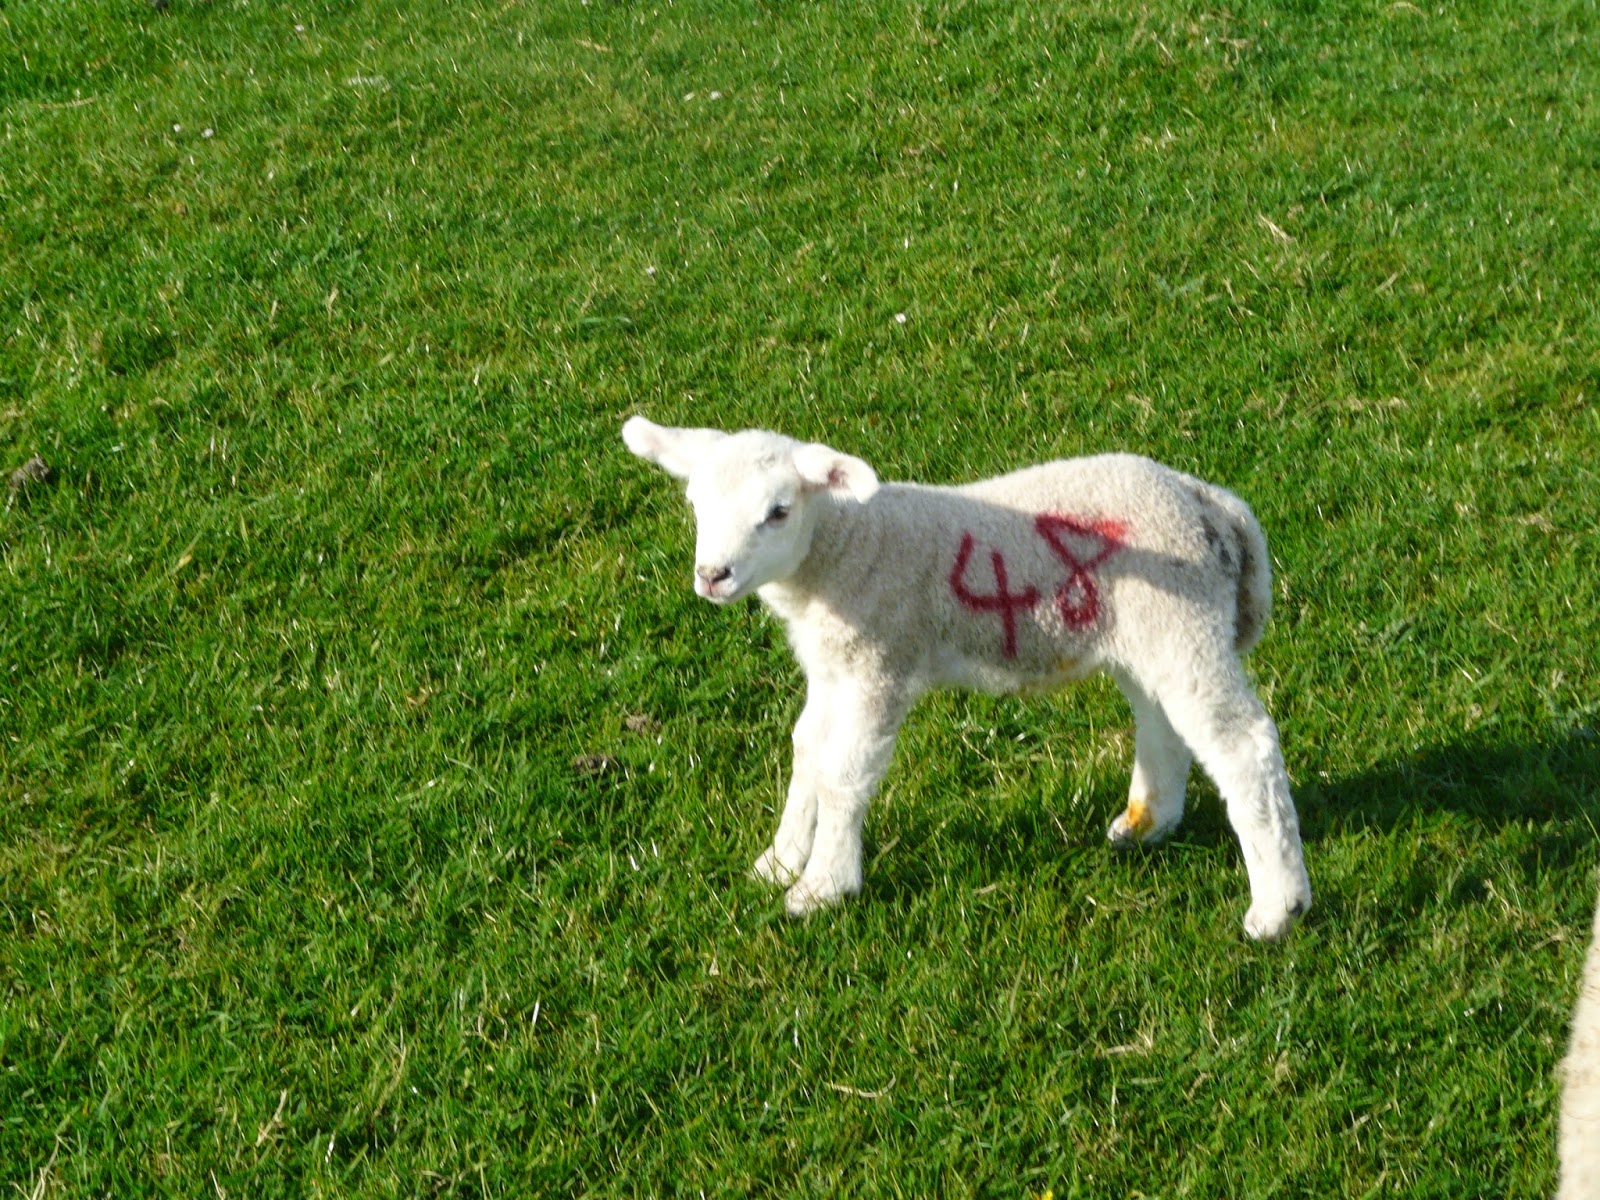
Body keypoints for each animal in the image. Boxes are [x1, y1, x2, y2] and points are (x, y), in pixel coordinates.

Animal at [621, 417, 1312, 941]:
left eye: (778, 511)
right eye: (695, 504)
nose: (712, 575)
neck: (846, 547)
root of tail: (1207, 500)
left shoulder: (880, 662)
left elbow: (845, 774)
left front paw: (822, 886)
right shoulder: (835, 664)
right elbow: (807, 751)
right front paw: (780, 860)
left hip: (1183, 620)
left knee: (1243, 744)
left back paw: (1278, 907)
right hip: (1147, 632)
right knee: (1162, 721)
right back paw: (1145, 825)